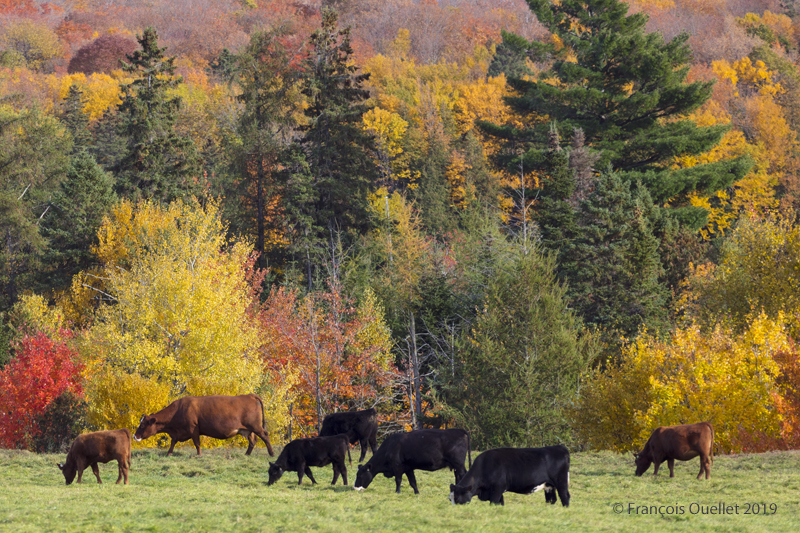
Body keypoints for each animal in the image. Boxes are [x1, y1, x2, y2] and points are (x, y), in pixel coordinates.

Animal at [134, 392, 276, 456]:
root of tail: (249, 395)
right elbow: (173, 442)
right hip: (247, 430)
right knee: (253, 440)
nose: (135, 436)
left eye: (142, 425)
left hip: (256, 426)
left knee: (265, 435)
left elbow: (197, 443)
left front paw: (199, 455)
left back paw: (272, 453)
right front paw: (168, 454)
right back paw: (246, 455)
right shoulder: (177, 433)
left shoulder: (193, 429)